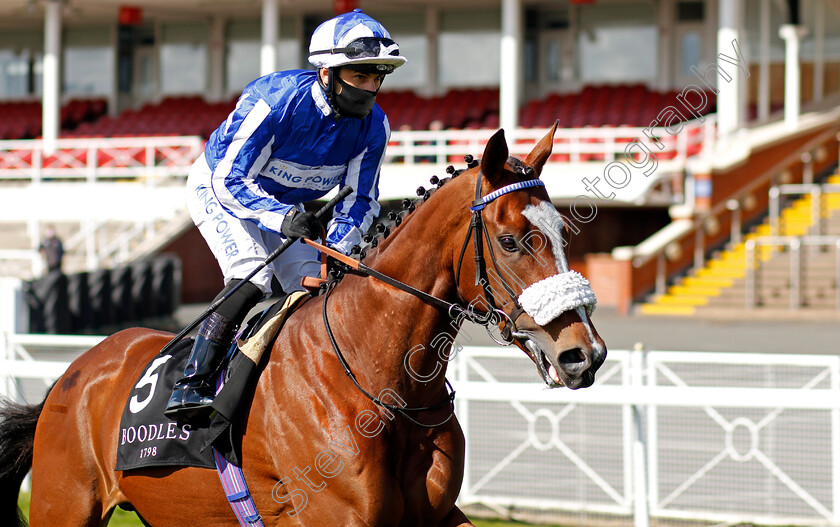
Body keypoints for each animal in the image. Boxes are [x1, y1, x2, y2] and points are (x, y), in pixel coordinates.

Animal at [0, 125, 604, 527]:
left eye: (561, 233)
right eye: (511, 241)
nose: (584, 353)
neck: (380, 380)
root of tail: (70, 375)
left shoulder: (437, 515)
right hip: (64, 505)